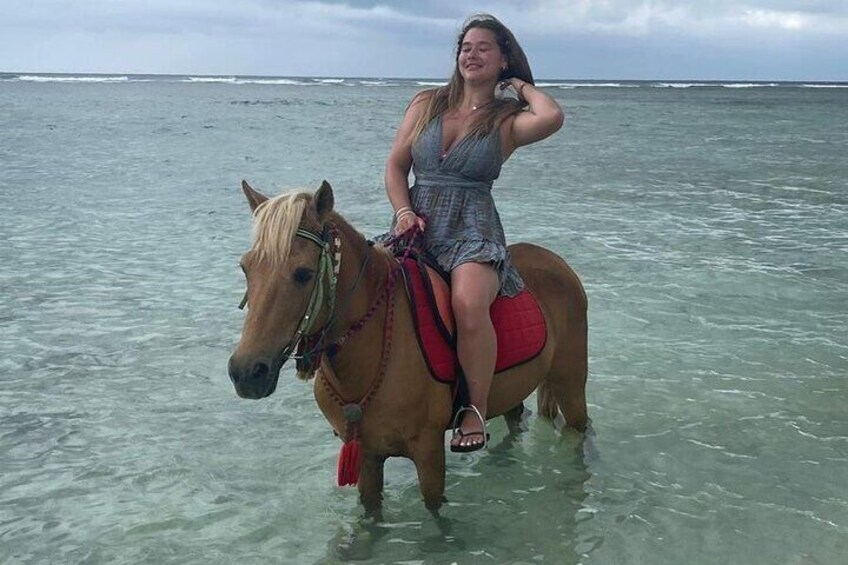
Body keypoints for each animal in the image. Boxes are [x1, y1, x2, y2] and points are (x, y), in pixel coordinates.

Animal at [227, 180, 588, 512]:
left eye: (303, 273)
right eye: (246, 268)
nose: (246, 372)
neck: (371, 349)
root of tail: (557, 262)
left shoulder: (428, 452)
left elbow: (435, 517)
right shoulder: (367, 457)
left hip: (570, 386)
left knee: (579, 431)